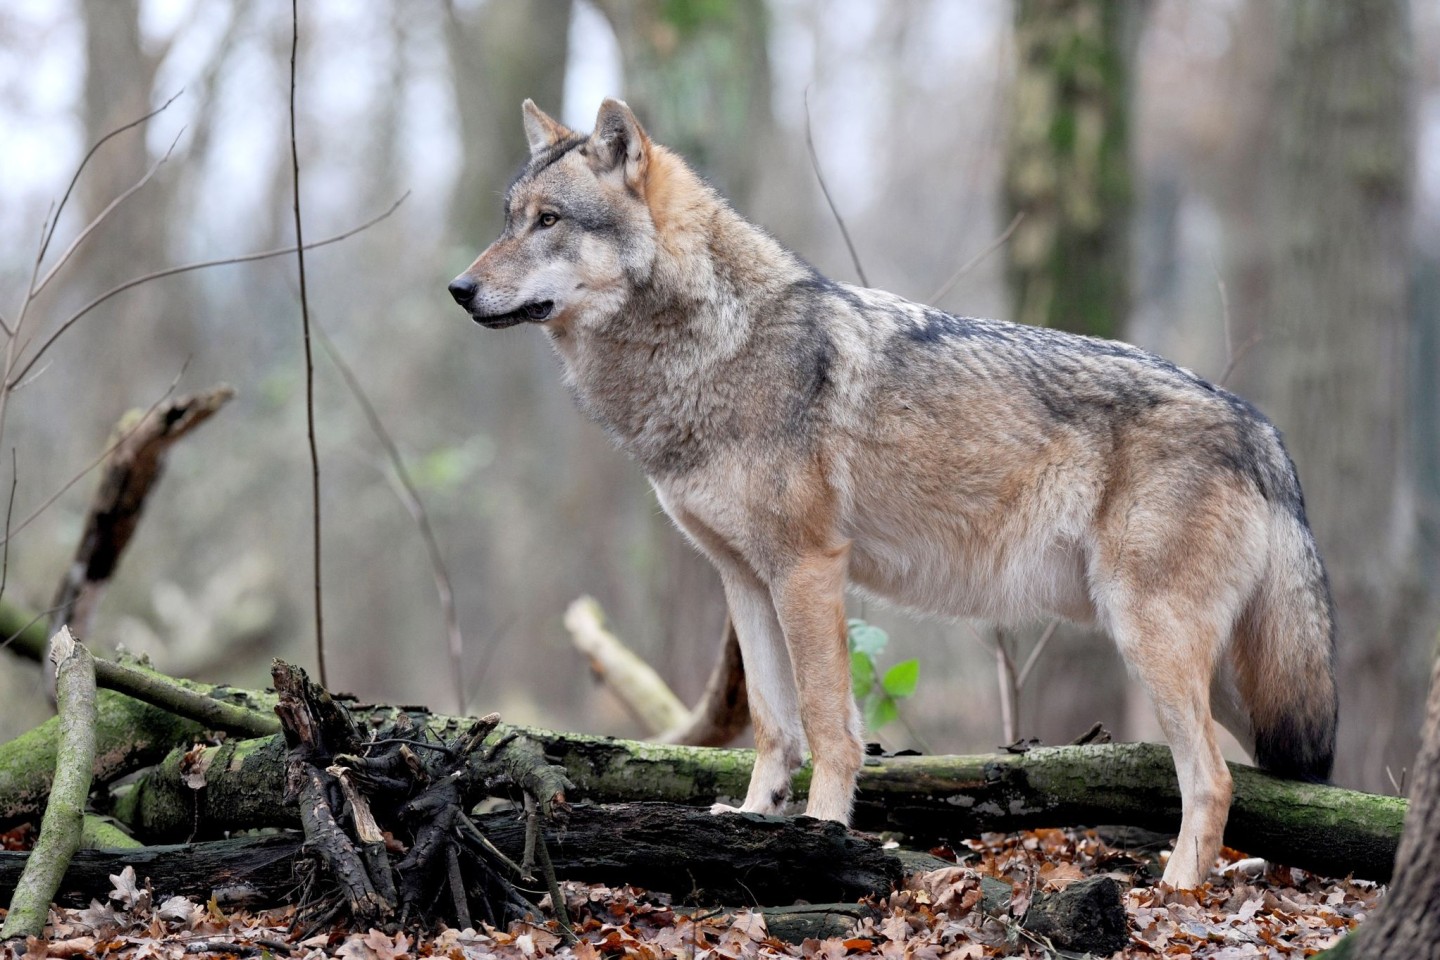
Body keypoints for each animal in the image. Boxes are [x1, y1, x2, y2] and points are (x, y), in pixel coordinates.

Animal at [449, 101, 1336, 892]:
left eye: (549, 220)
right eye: (508, 218)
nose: (457, 288)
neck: (712, 346)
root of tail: (1264, 428)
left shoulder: (808, 568)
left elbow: (828, 725)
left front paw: (822, 836)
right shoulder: (745, 579)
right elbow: (773, 725)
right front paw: (754, 822)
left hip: (1152, 638)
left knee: (1214, 780)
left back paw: (1176, 892)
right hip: (1224, 673)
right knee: (1268, 776)